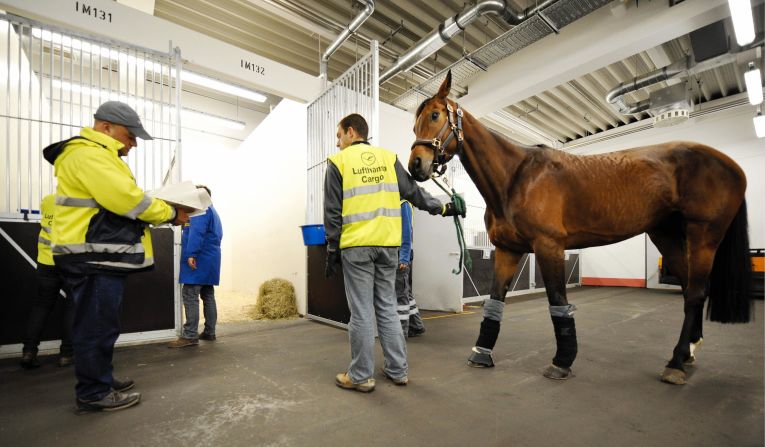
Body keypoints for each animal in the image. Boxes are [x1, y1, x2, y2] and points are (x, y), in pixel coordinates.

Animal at [408, 72, 748, 386]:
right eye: (414, 125)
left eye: (435, 115)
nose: (416, 166)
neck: (516, 177)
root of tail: (733, 166)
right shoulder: (507, 250)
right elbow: (494, 301)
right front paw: (481, 353)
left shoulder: (549, 247)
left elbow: (558, 302)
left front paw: (562, 361)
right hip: (668, 236)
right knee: (691, 289)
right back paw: (688, 352)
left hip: (703, 237)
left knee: (695, 293)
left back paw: (676, 363)